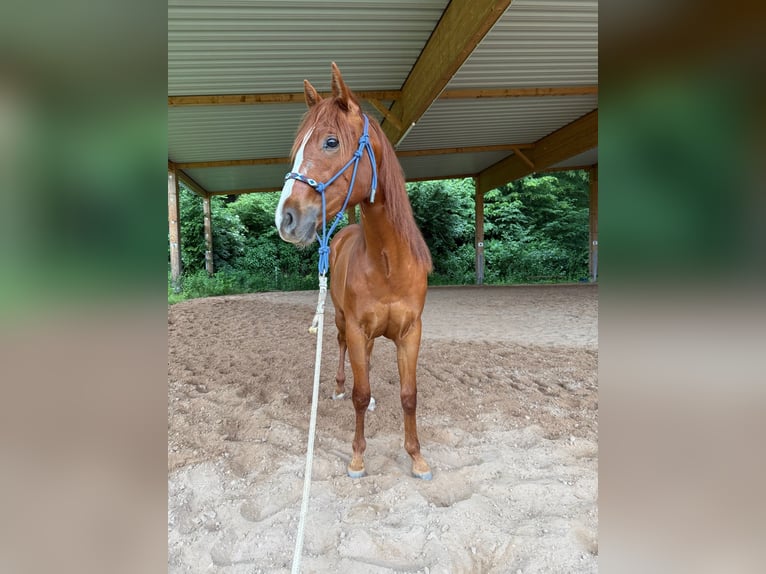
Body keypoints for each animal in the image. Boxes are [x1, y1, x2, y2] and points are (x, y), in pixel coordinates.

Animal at [274, 63, 433, 480]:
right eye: (296, 149)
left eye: (331, 142)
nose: (286, 219)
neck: (389, 263)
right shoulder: (358, 329)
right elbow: (360, 397)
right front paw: (358, 457)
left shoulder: (411, 333)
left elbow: (409, 396)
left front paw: (417, 457)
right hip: (342, 321)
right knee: (343, 351)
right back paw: (337, 385)